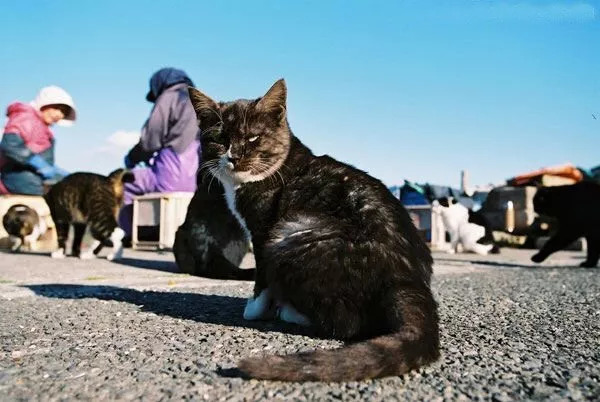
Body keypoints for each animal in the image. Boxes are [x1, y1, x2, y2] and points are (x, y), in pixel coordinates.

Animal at [189, 79, 440, 384]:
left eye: (252, 138)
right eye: (220, 139)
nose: (234, 156)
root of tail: (407, 280)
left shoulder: (262, 233)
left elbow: (261, 280)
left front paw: (254, 310)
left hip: (289, 236)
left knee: (347, 323)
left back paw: (292, 313)